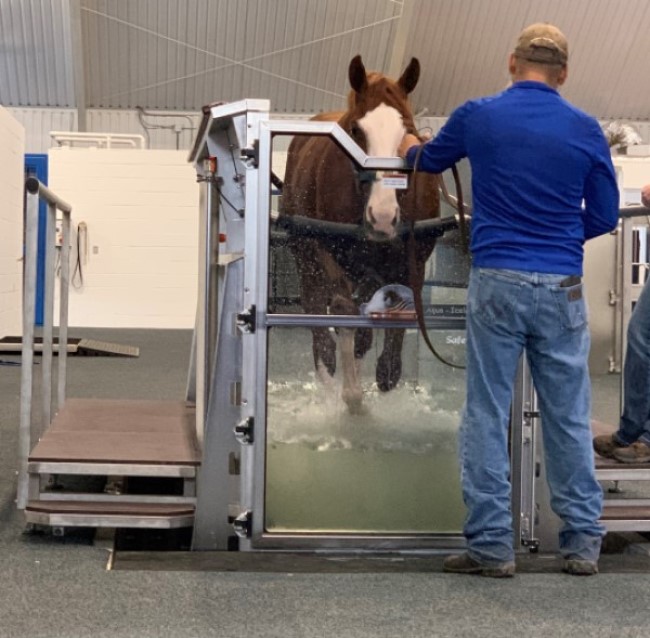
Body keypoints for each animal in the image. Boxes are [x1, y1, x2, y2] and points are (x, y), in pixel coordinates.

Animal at [280, 55, 438, 416]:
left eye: (407, 130)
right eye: (355, 131)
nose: (382, 215)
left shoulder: (413, 263)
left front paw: (384, 377)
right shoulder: (327, 256)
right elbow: (343, 313)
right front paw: (352, 398)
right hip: (308, 261)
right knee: (320, 328)